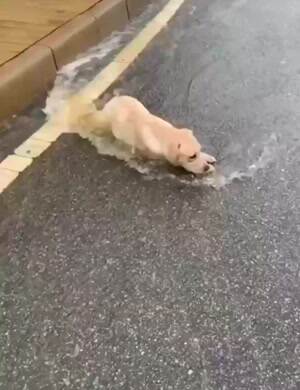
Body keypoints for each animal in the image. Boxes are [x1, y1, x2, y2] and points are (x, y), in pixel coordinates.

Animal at [66, 95, 216, 174]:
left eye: (198, 152)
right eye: (191, 156)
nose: (206, 167)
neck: (164, 135)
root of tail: (114, 99)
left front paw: (208, 157)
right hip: (107, 123)